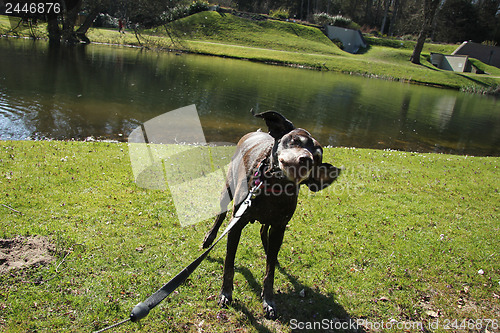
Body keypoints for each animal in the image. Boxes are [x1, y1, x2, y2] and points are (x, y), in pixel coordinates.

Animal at [202, 110, 340, 318]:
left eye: (317, 158)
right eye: (295, 140)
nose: (306, 159)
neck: (274, 186)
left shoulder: (279, 227)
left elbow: (270, 273)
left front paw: (268, 300)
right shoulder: (237, 224)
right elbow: (229, 264)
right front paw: (225, 294)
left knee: (264, 236)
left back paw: (269, 252)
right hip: (228, 190)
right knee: (220, 217)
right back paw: (209, 237)